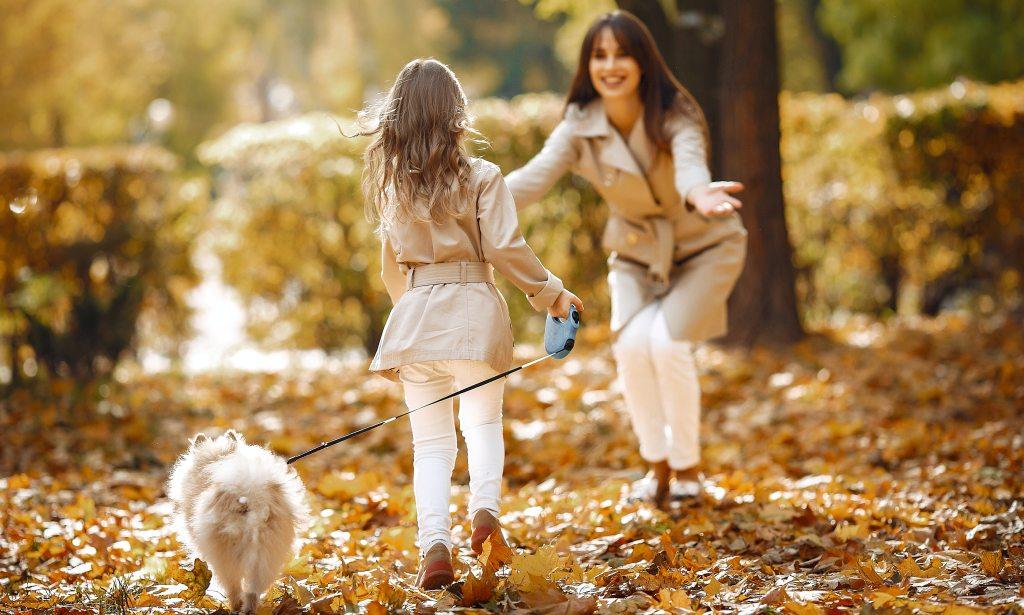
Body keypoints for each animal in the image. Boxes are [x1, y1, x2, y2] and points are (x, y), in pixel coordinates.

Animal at [165, 429, 311, 609]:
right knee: (253, 590)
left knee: (233, 586)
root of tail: (253, 497)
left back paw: (235, 607)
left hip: (226, 555)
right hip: (268, 552)